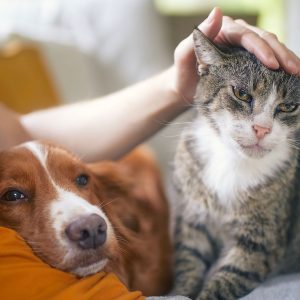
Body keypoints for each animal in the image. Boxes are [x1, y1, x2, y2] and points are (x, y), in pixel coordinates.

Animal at [171, 28, 300, 300]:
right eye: (241, 93)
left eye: (288, 106)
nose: (262, 128)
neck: (233, 161)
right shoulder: (192, 221)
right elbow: (188, 262)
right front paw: (181, 292)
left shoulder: (260, 239)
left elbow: (228, 278)